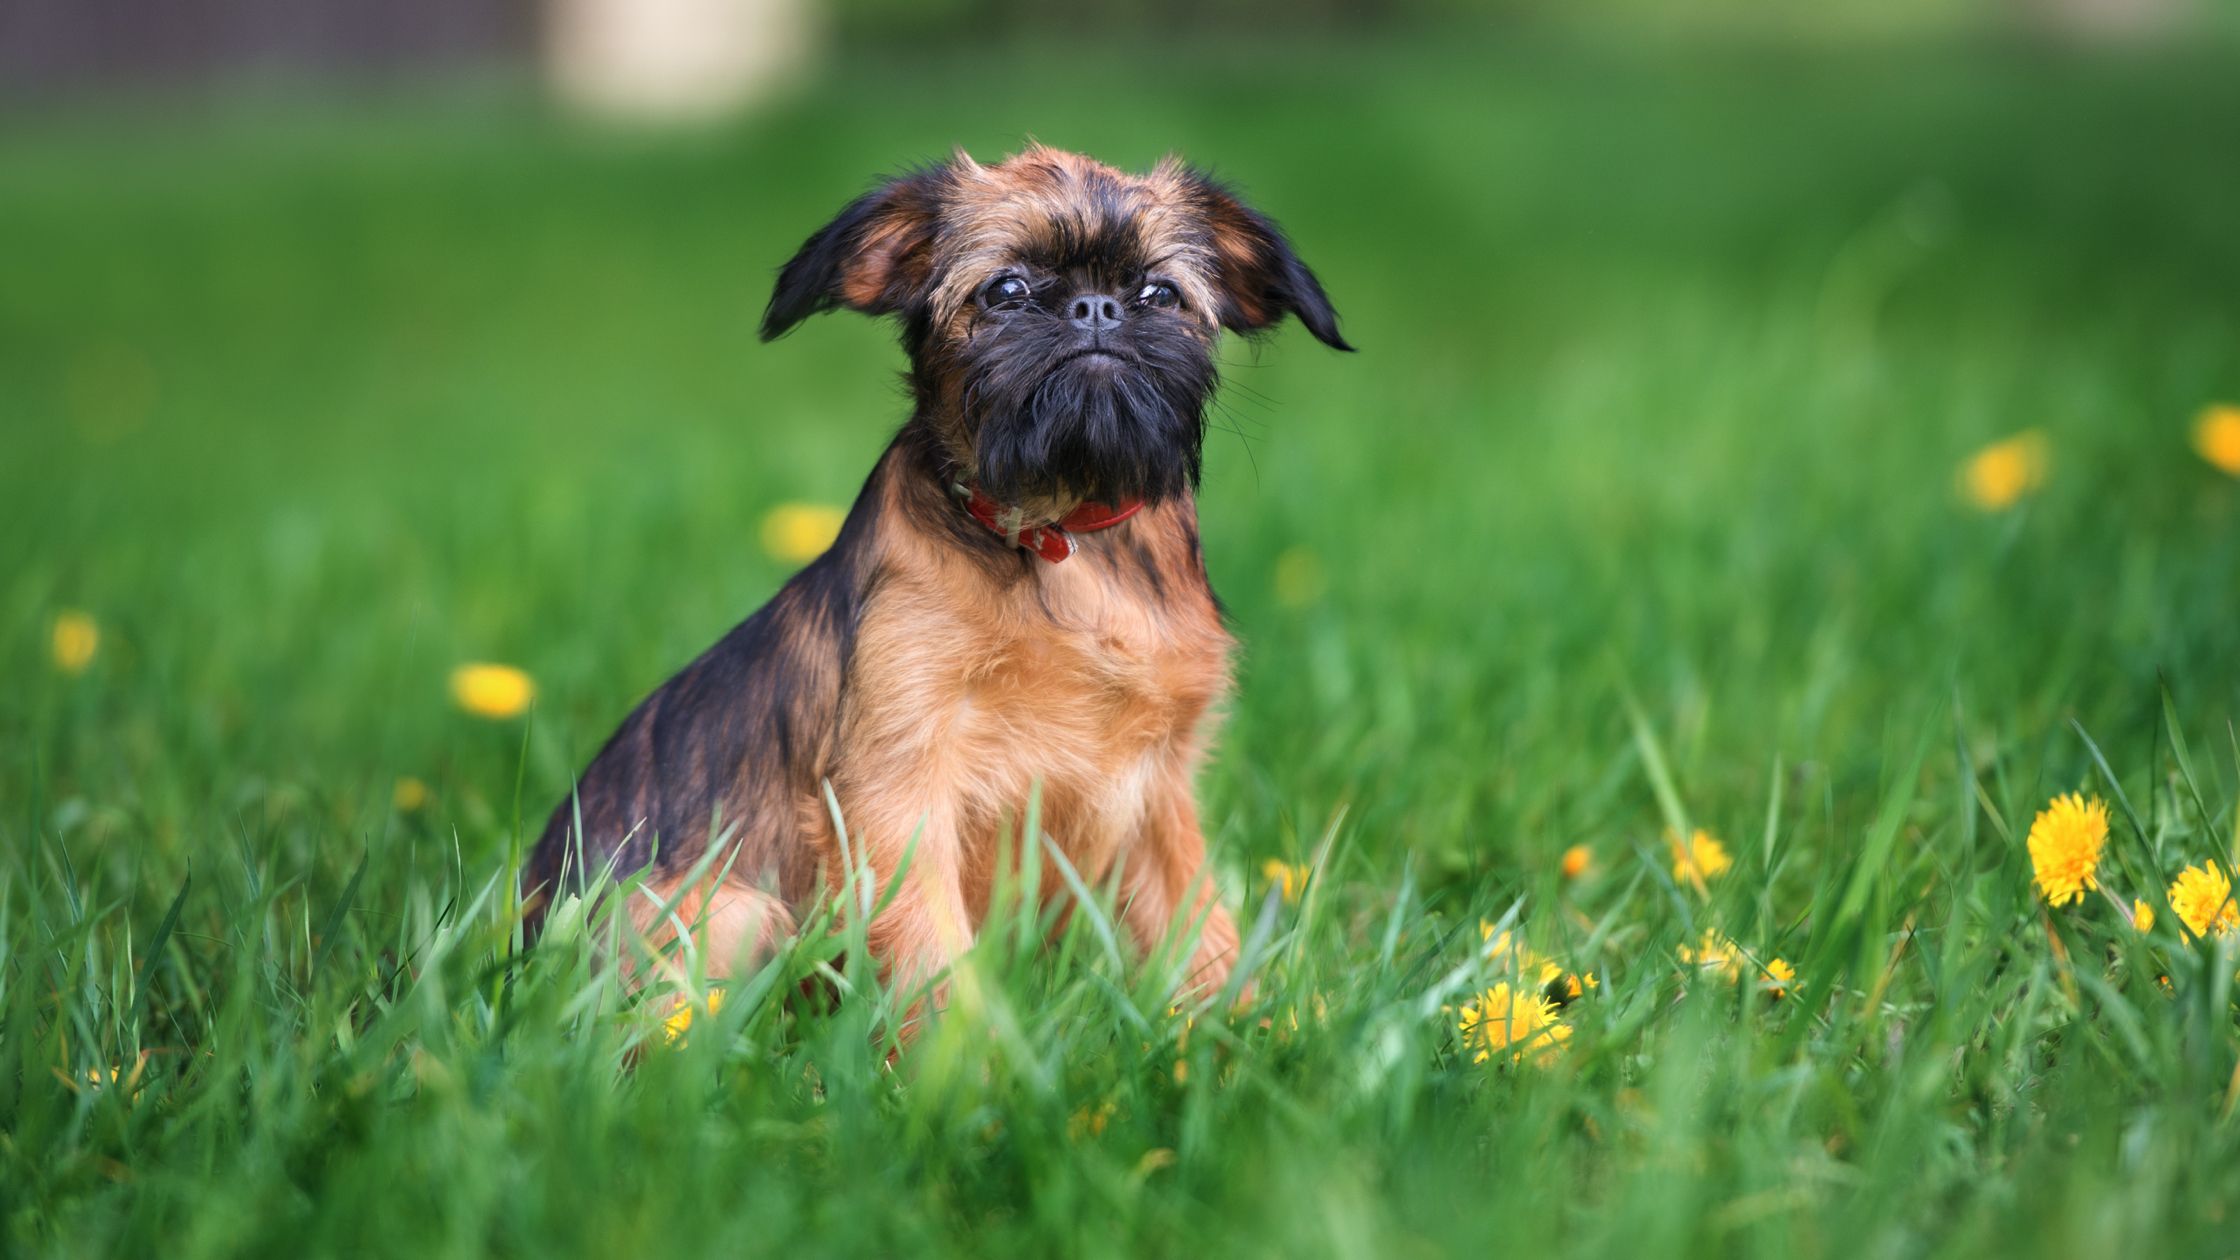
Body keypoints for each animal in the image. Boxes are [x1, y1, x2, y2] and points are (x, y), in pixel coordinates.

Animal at [524, 144, 1344, 1022]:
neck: (1062, 538)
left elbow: (1204, 933)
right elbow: (931, 956)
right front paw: (968, 1057)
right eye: (1006, 290)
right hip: (734, 910)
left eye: (1161, 293)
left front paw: (1260, 1031)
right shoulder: (901, 789)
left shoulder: (1158, 797)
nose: (1095, 308)